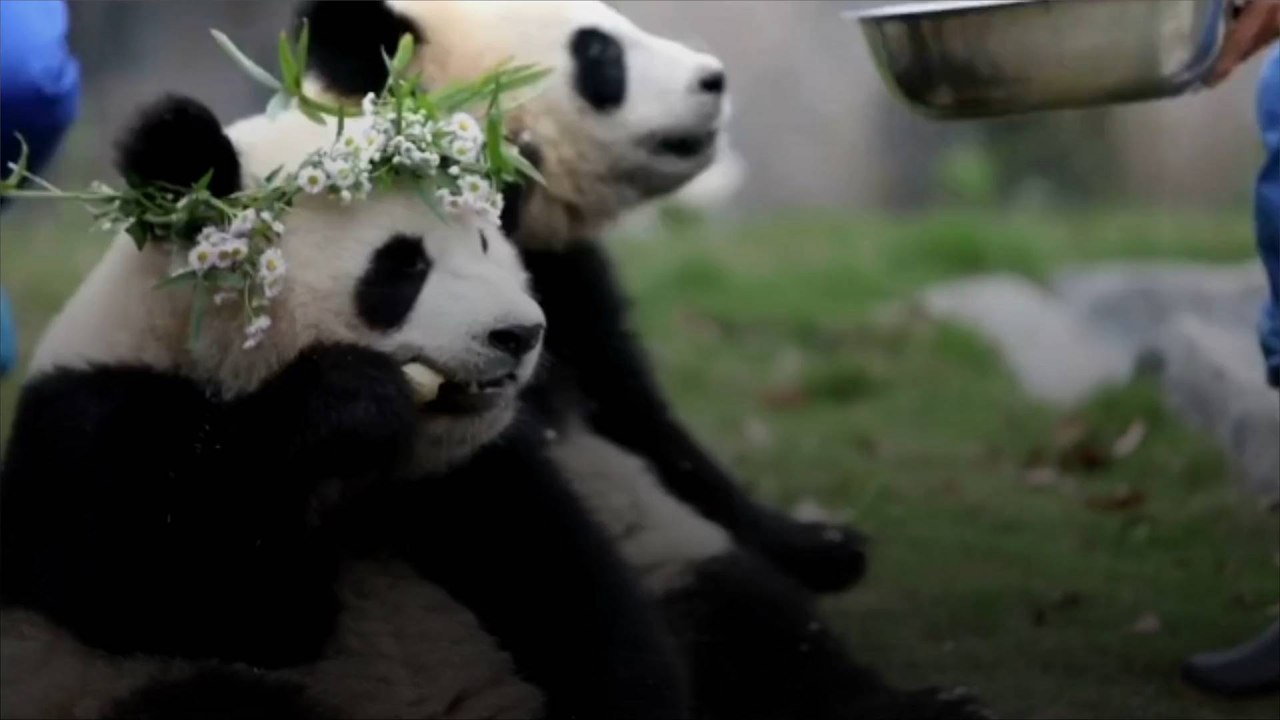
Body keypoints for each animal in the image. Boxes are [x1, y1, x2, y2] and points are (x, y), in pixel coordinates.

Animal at [1, 94, 687, 719]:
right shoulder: (93, 429)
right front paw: (346, 403)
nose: (519, 334)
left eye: (490, 247)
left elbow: (578, 604)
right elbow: (188, 592)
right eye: (403, 265)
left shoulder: (475, 475)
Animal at [293, 3, 993, 719]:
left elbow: (642, 421)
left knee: (751, 618)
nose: (713, 78)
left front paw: (822, 545)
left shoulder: (566, 291)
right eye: (600, 54)